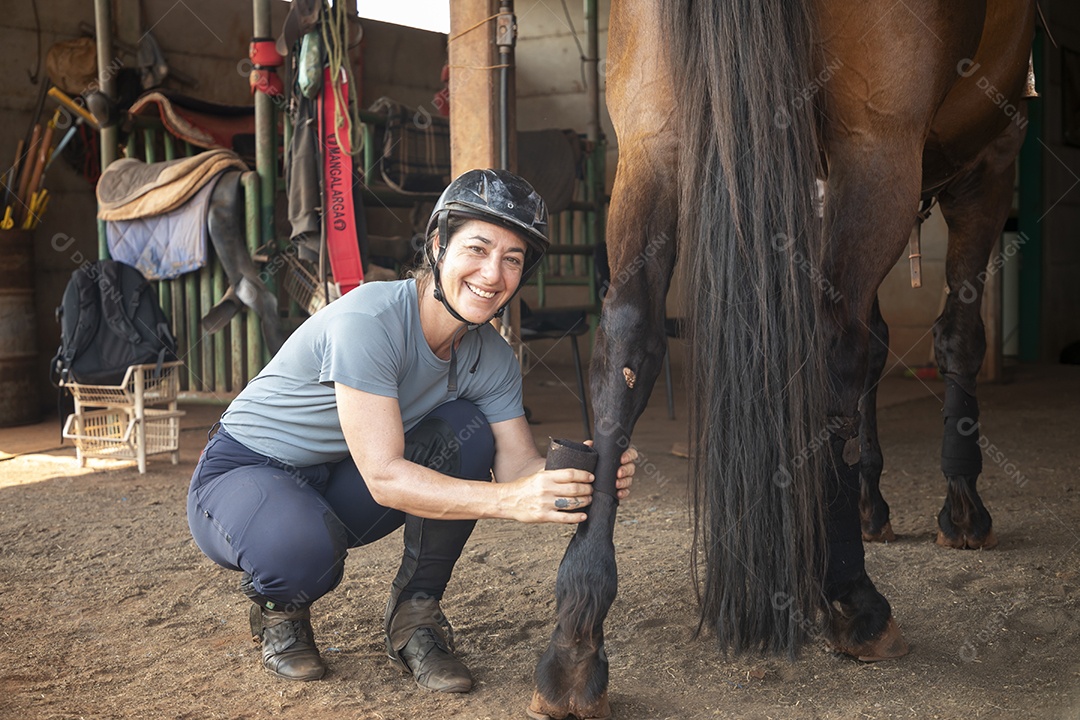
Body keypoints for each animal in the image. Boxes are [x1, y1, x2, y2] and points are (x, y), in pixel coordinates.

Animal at [526, 1, 1034, 718]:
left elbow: (882, 343)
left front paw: (873, 502)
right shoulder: (992, 154)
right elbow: (954, 336)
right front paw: (961, 508)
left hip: (651, 139)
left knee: (628, 335)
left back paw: (576, 637)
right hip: (879, 147)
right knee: (838, 345)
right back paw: (856, 601)